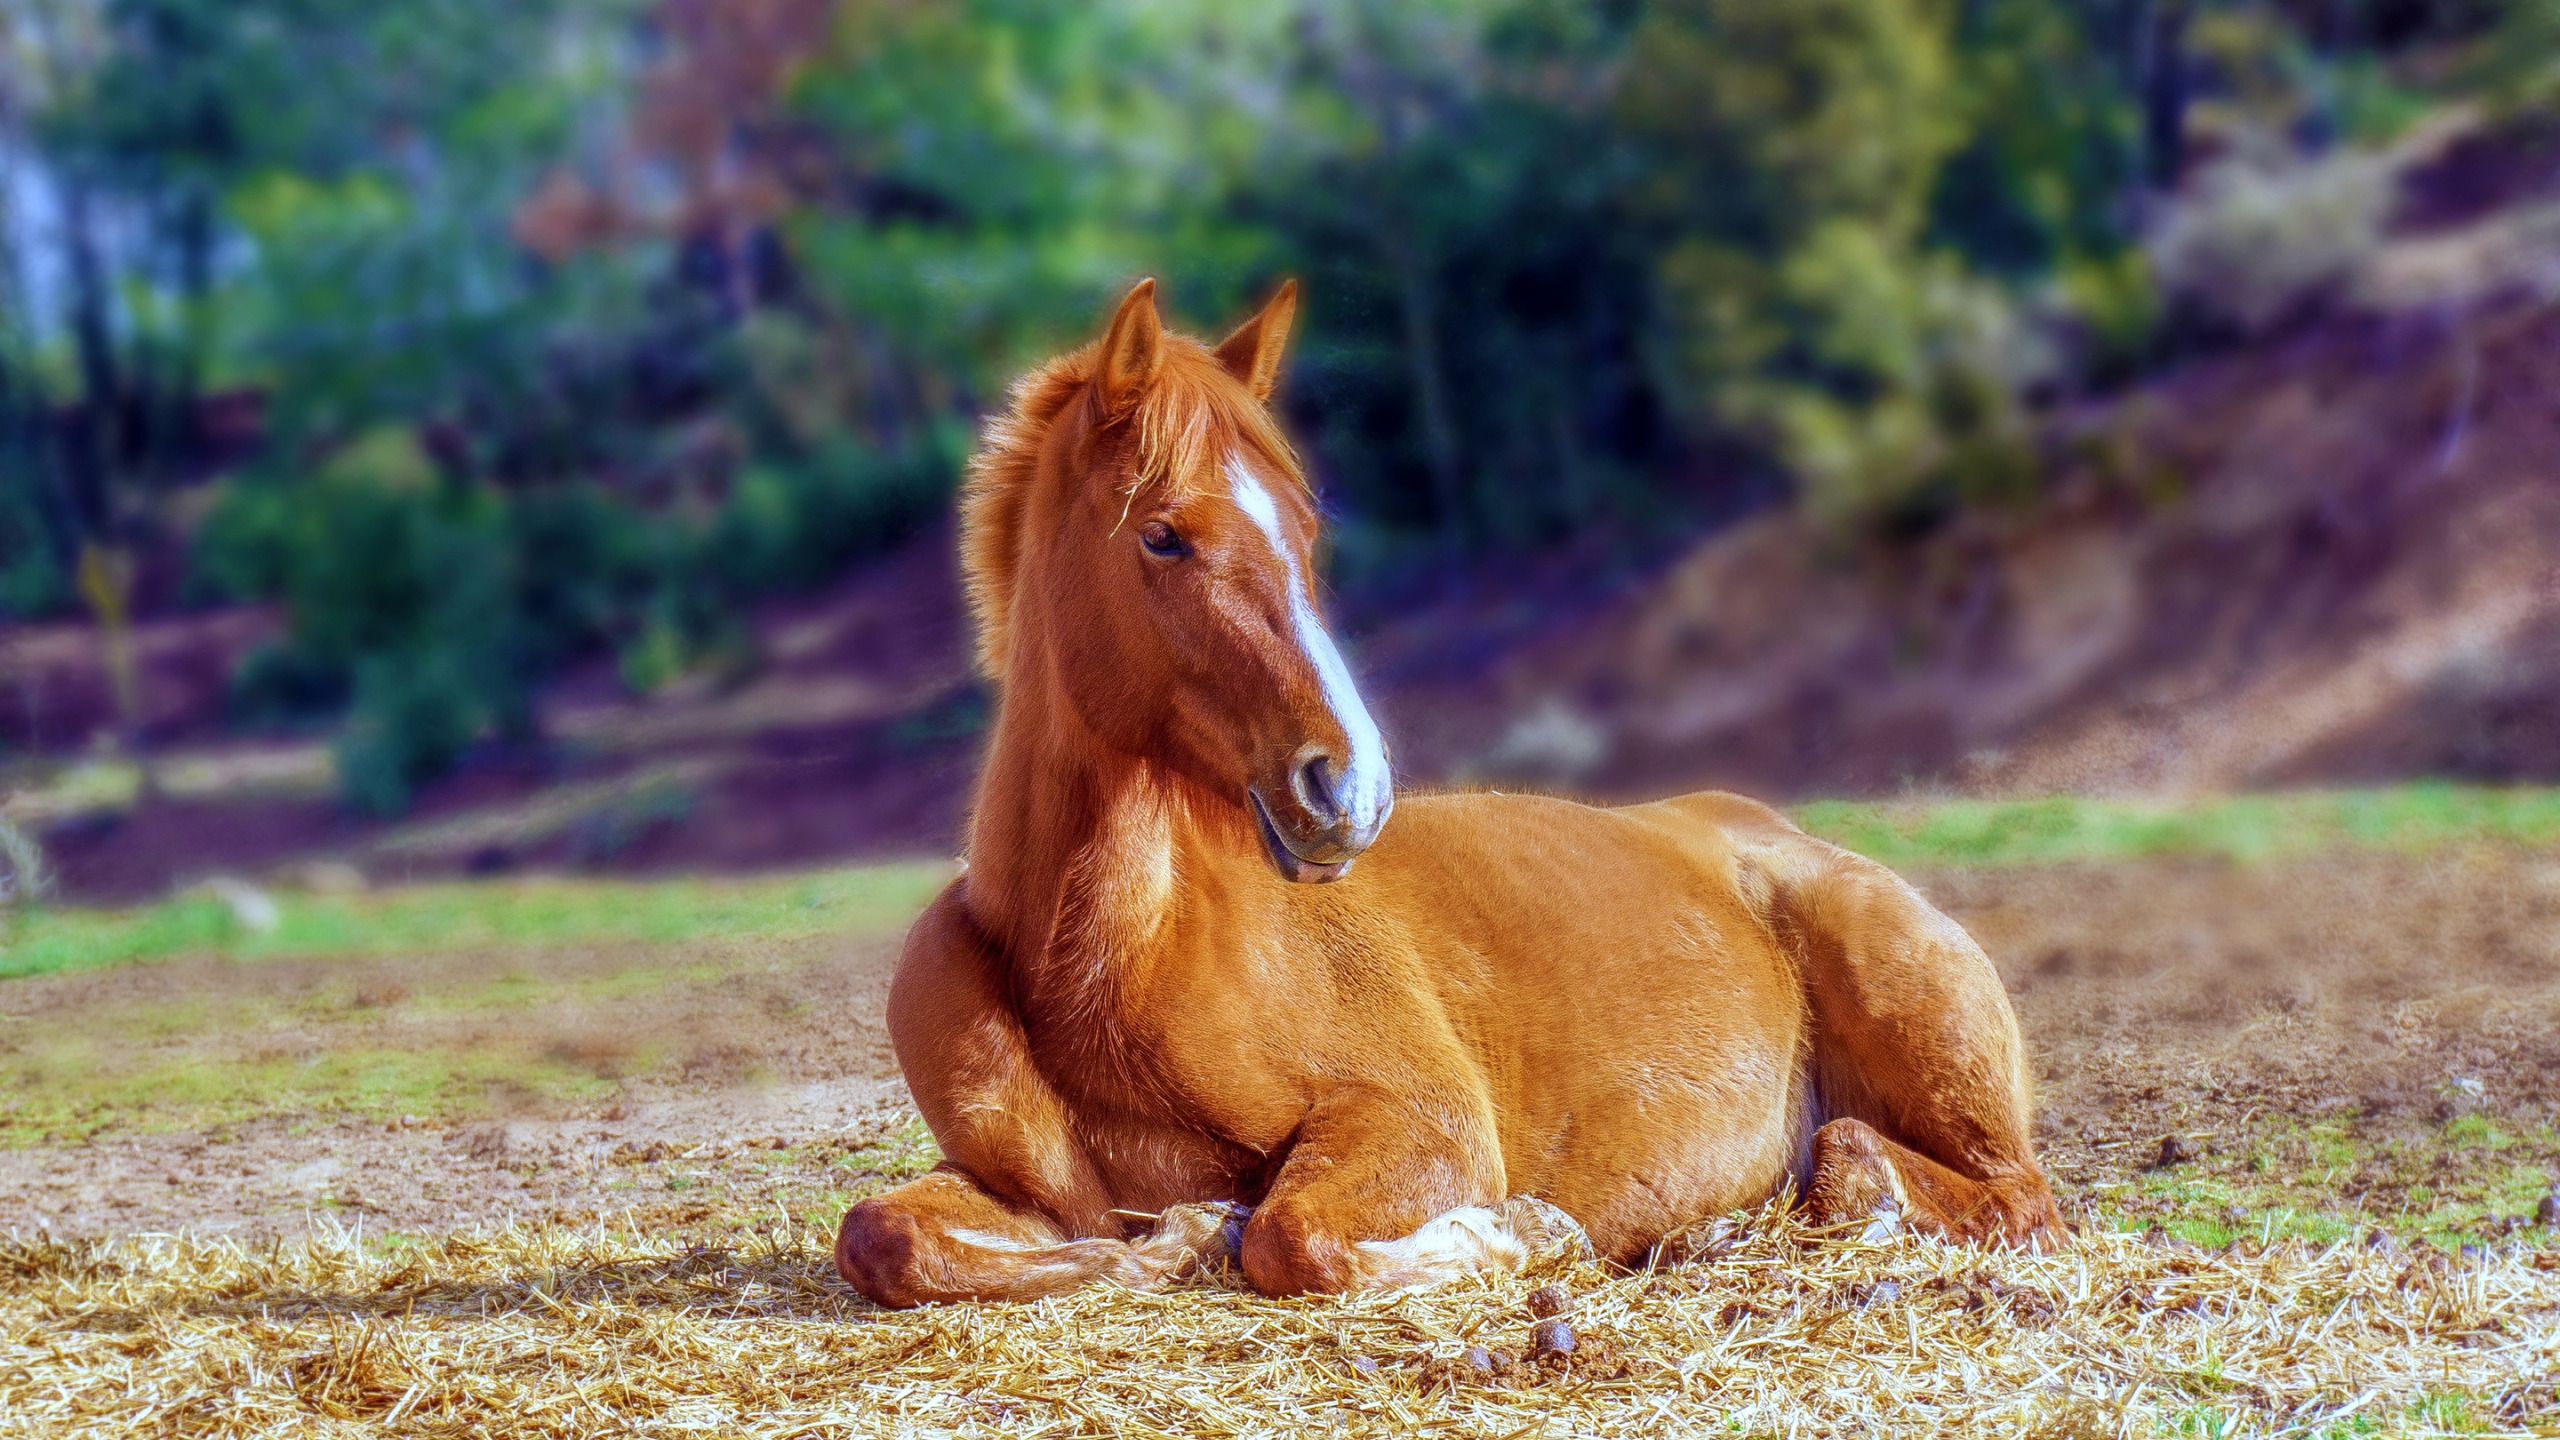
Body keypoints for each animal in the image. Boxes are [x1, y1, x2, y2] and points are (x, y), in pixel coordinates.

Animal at [829, 278, 2068, 1301]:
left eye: (1305, 527)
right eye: (1163, 536)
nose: (1350, 785)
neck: (1109, 960)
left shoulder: (1417, 1126)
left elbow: (1290, 1239)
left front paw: (1522, 1234)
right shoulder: (1013, 1188)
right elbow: (883, 1234)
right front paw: (1173, 1236)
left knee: (1966, 1187)